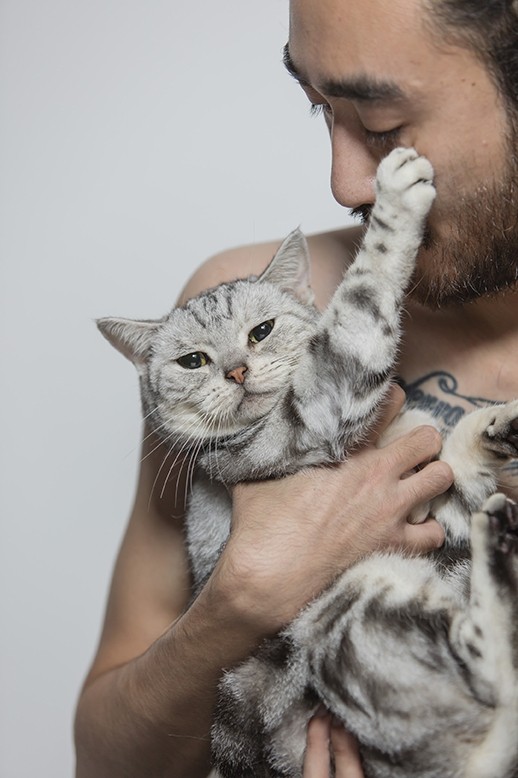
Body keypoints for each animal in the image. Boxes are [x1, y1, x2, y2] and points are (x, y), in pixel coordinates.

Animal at [98, 149, 518, 776]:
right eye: (193, 361)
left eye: (262, 330)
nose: (236, 371)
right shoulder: (318, 409)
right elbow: (360, 299)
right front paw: (396, 196)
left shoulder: (440, 504)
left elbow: (458, 458)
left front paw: (494, 424)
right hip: (348, 610)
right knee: (492, 667)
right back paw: (502, 543)